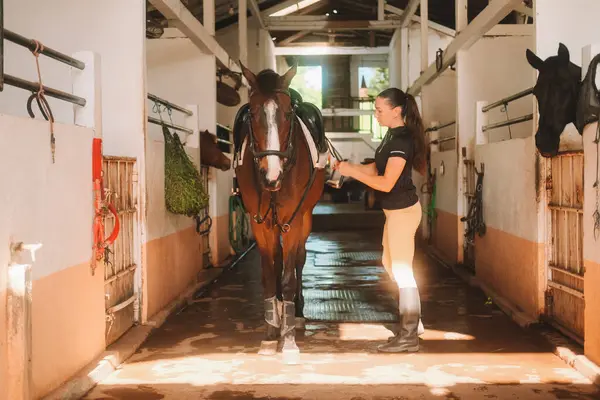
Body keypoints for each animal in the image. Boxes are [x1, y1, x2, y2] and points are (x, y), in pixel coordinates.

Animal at [233, 63, 326, 360]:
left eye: (287, 113)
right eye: (251, 113)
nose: (270, 175)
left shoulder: (293, 222)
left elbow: (287, 278)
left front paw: (288, 339)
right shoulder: (260, 224)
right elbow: (269, 276)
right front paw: (270, 334)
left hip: (304, 219)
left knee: (298, 260)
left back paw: (296, 313)